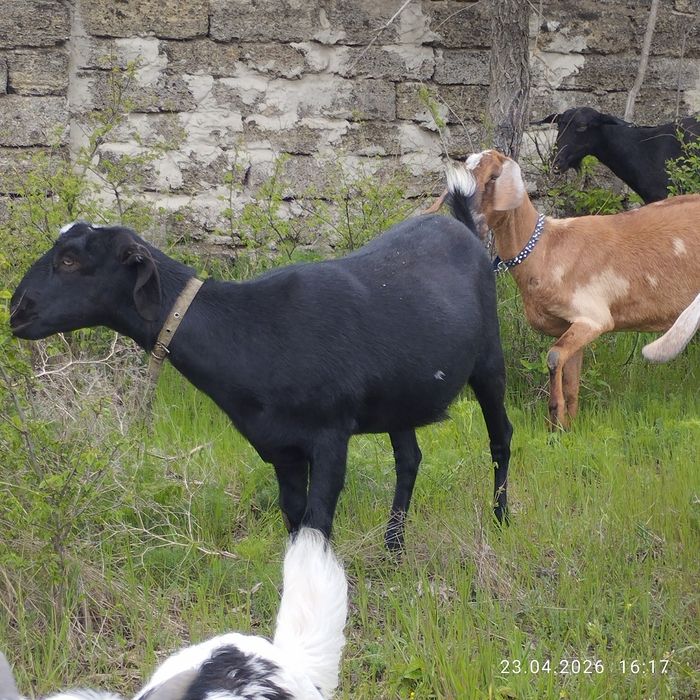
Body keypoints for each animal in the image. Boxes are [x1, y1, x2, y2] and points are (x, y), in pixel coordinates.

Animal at [11, 217, 512, 549]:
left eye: (70, 260)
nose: (17, 310)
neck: (253, 330)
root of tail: (458, 223)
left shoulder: (330, 435)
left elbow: (317, 523)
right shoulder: (279, 447)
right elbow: (294, 521)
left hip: (489, 356)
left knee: (500, 437)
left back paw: (502, 520)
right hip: (399, 395)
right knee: (409, 459)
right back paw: (393, 548)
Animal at [443, 149, 700, 429]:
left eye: (493, 177)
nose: (468, 223)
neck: (546, 249)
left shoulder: (593, 317)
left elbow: (554, 357)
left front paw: (555, 421)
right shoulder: (571, 324)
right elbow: (571, 380)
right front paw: (571, 426)